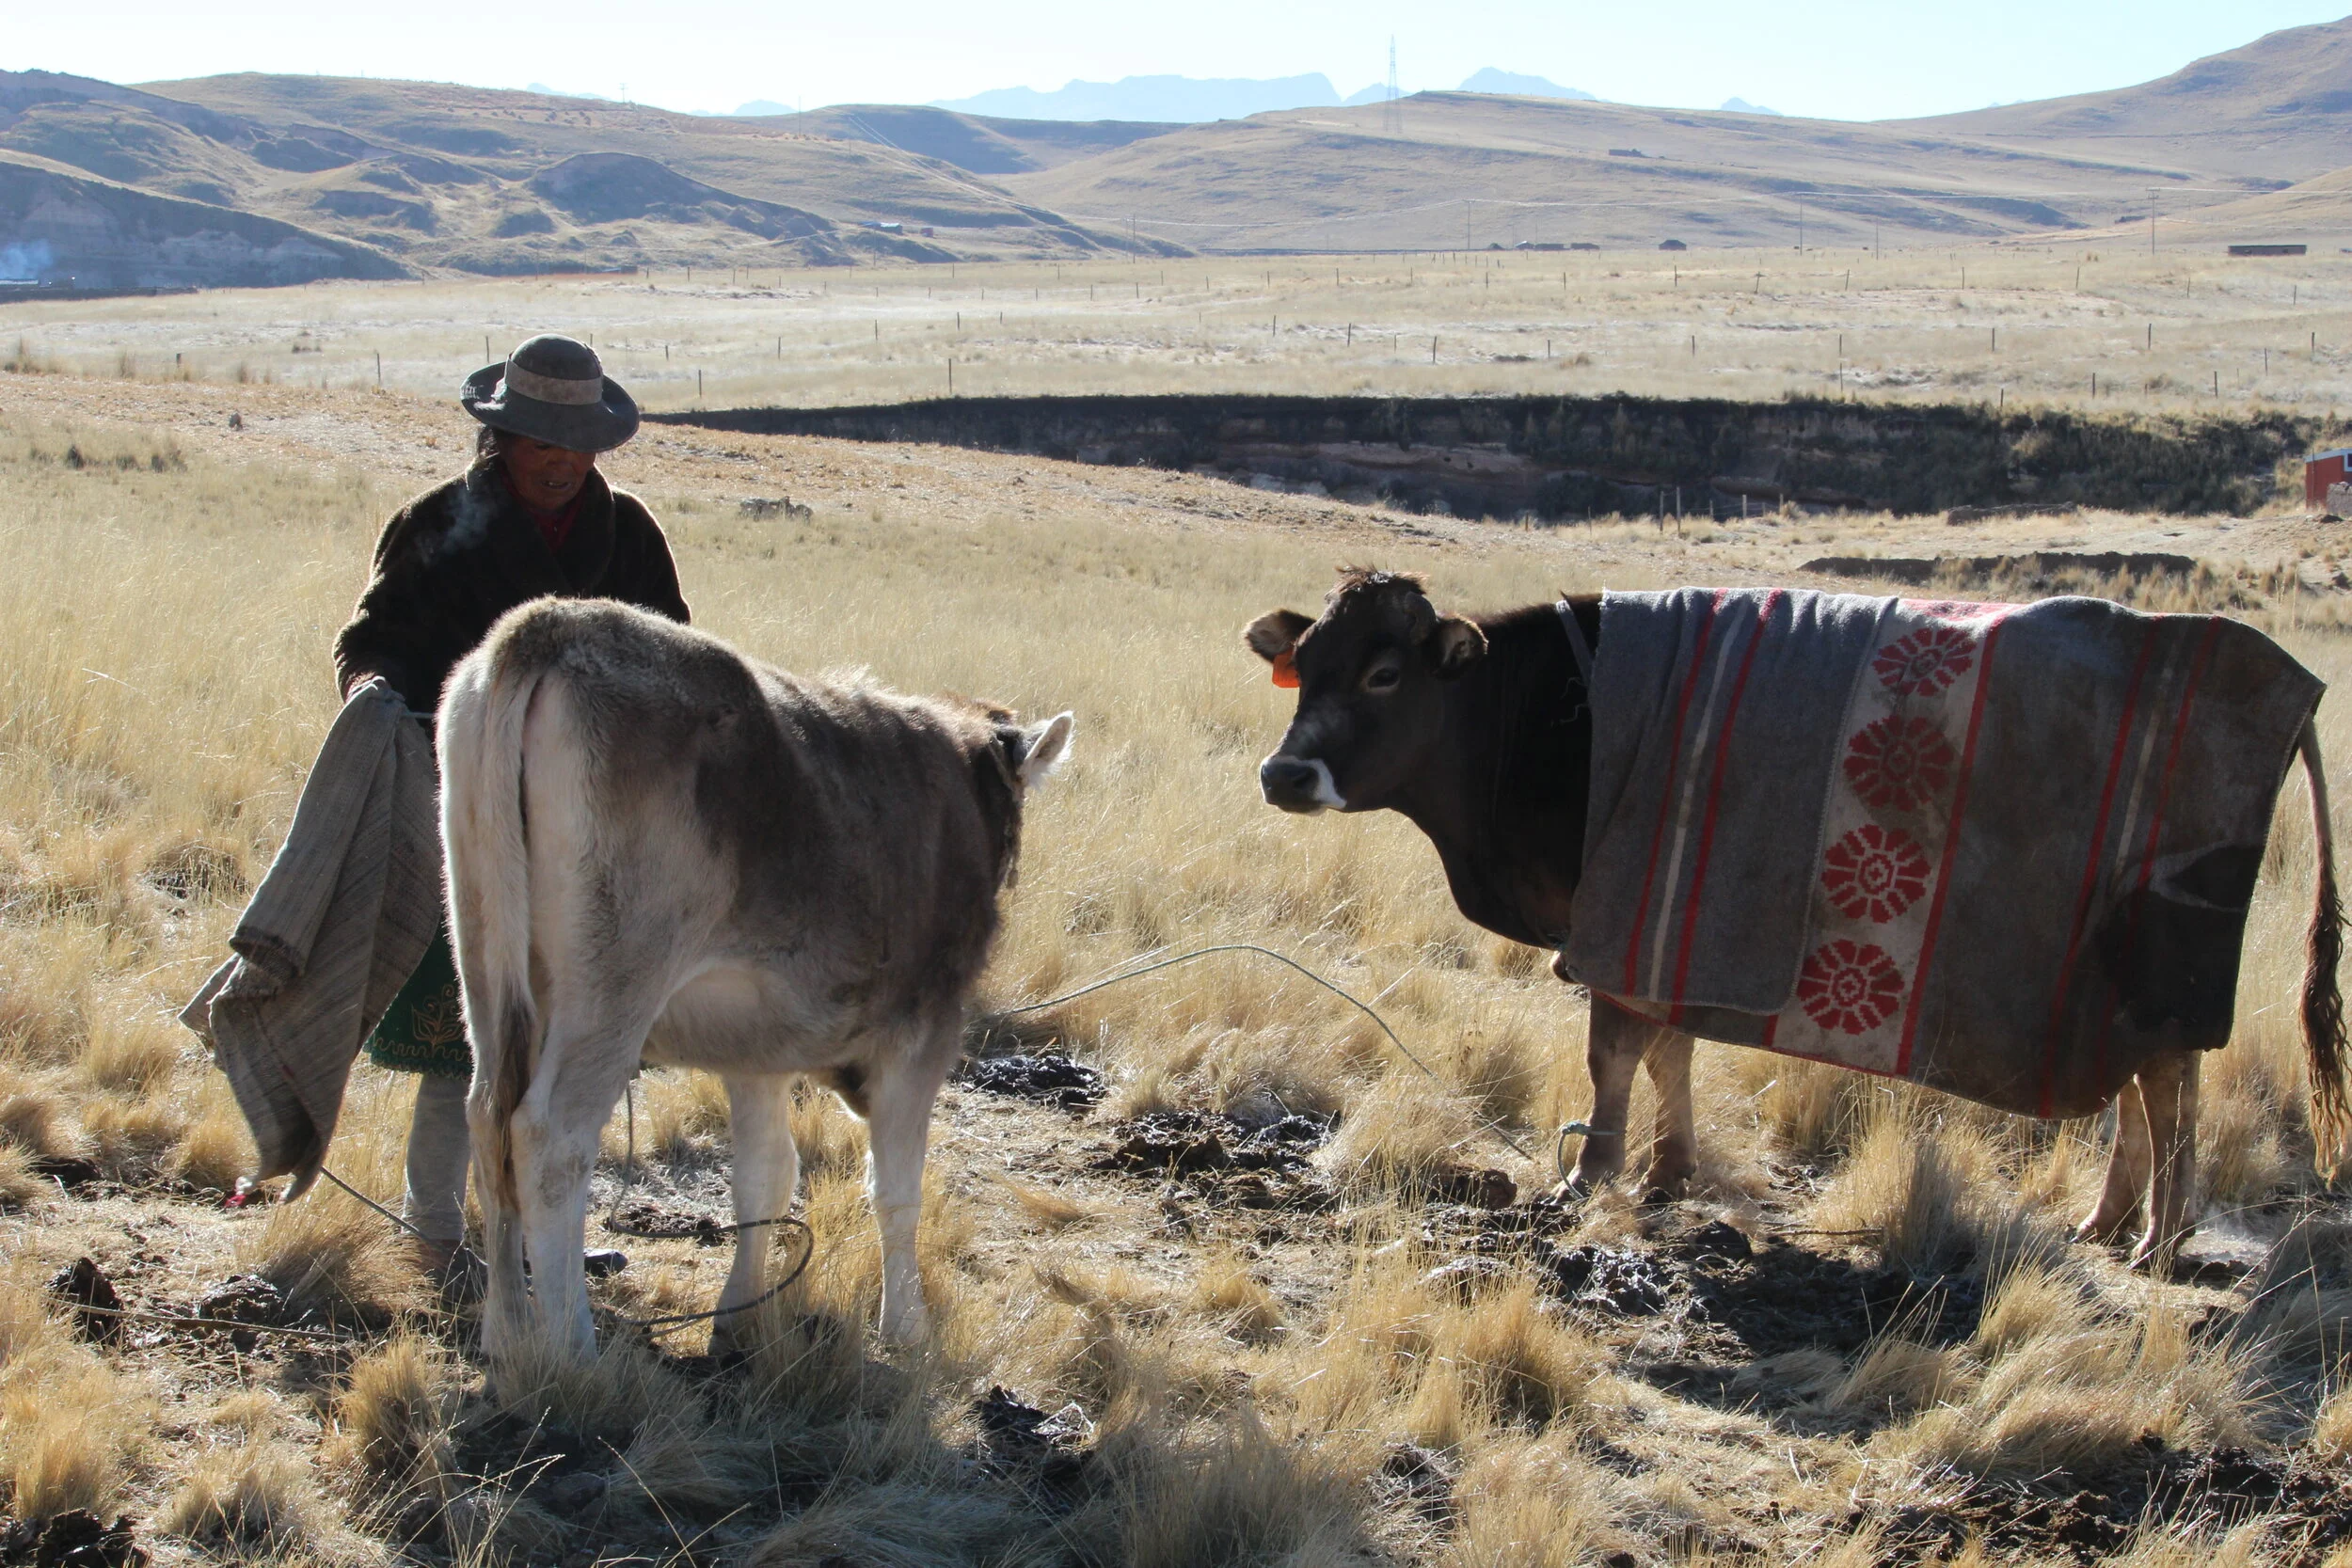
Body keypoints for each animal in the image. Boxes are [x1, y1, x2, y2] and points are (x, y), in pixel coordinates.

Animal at [438, 598, 1072, 1362]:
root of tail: (555, 624)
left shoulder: (757, 1050)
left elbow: (764, 1180)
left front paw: (737, 1315)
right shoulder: (921, 1033)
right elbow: (895, 1188)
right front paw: (906, 1325)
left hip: (483, 955)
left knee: (487, 1120)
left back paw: (505, 1332)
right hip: (611, 990)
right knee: (548, 1139)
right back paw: (573, 1351)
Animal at [1245, 568, 2348, 1270]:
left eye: (1385, 671)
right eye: (1306, 662)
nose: (1284, 772)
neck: (1547, 715)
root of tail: (2282, 682)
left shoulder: (1623, 922)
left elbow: (1616, 1054)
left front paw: (1589, 1178)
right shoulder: (1671, 935)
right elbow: (1670, 1051)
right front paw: (1668, 1172)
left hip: (2163, 970)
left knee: (2171, 1090)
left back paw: (2160, 1234)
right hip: (2109, 993)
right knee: (2139, 1088)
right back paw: (2107, 1222)